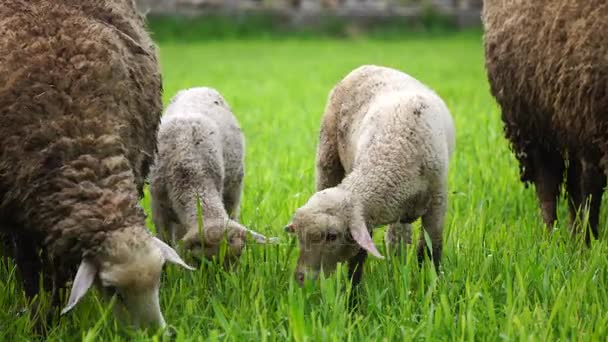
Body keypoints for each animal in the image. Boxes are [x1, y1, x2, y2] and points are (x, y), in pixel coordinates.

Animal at [0, 0, 194, 328]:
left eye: (158, 280)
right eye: (112, 290)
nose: (157, 333)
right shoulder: (17, 219)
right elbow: (32, 279)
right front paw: (41, 324)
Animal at [150, 87, 276, 266]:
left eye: (238, 257)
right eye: (204, 261)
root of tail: (199, 87)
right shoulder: (158, 206)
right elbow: (165, 240)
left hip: (234, 187)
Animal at [282, 65, 454, 286]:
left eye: (332, 236)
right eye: (298, 237)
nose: (301, 279)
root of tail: (367, 67)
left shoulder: (437, 202)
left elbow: (431, 251)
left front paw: (431, 285)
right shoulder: (366, 214)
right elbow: (358, 259)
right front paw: (352, 292)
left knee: (398, 235)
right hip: (327, 155)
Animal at [484, 0, 608, 243]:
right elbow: (589, 190)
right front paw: (590, 243)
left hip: (567, 116)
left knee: (574, 183)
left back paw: (574, 234)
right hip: (535, 120)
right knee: (549, 182)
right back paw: (554, 237)